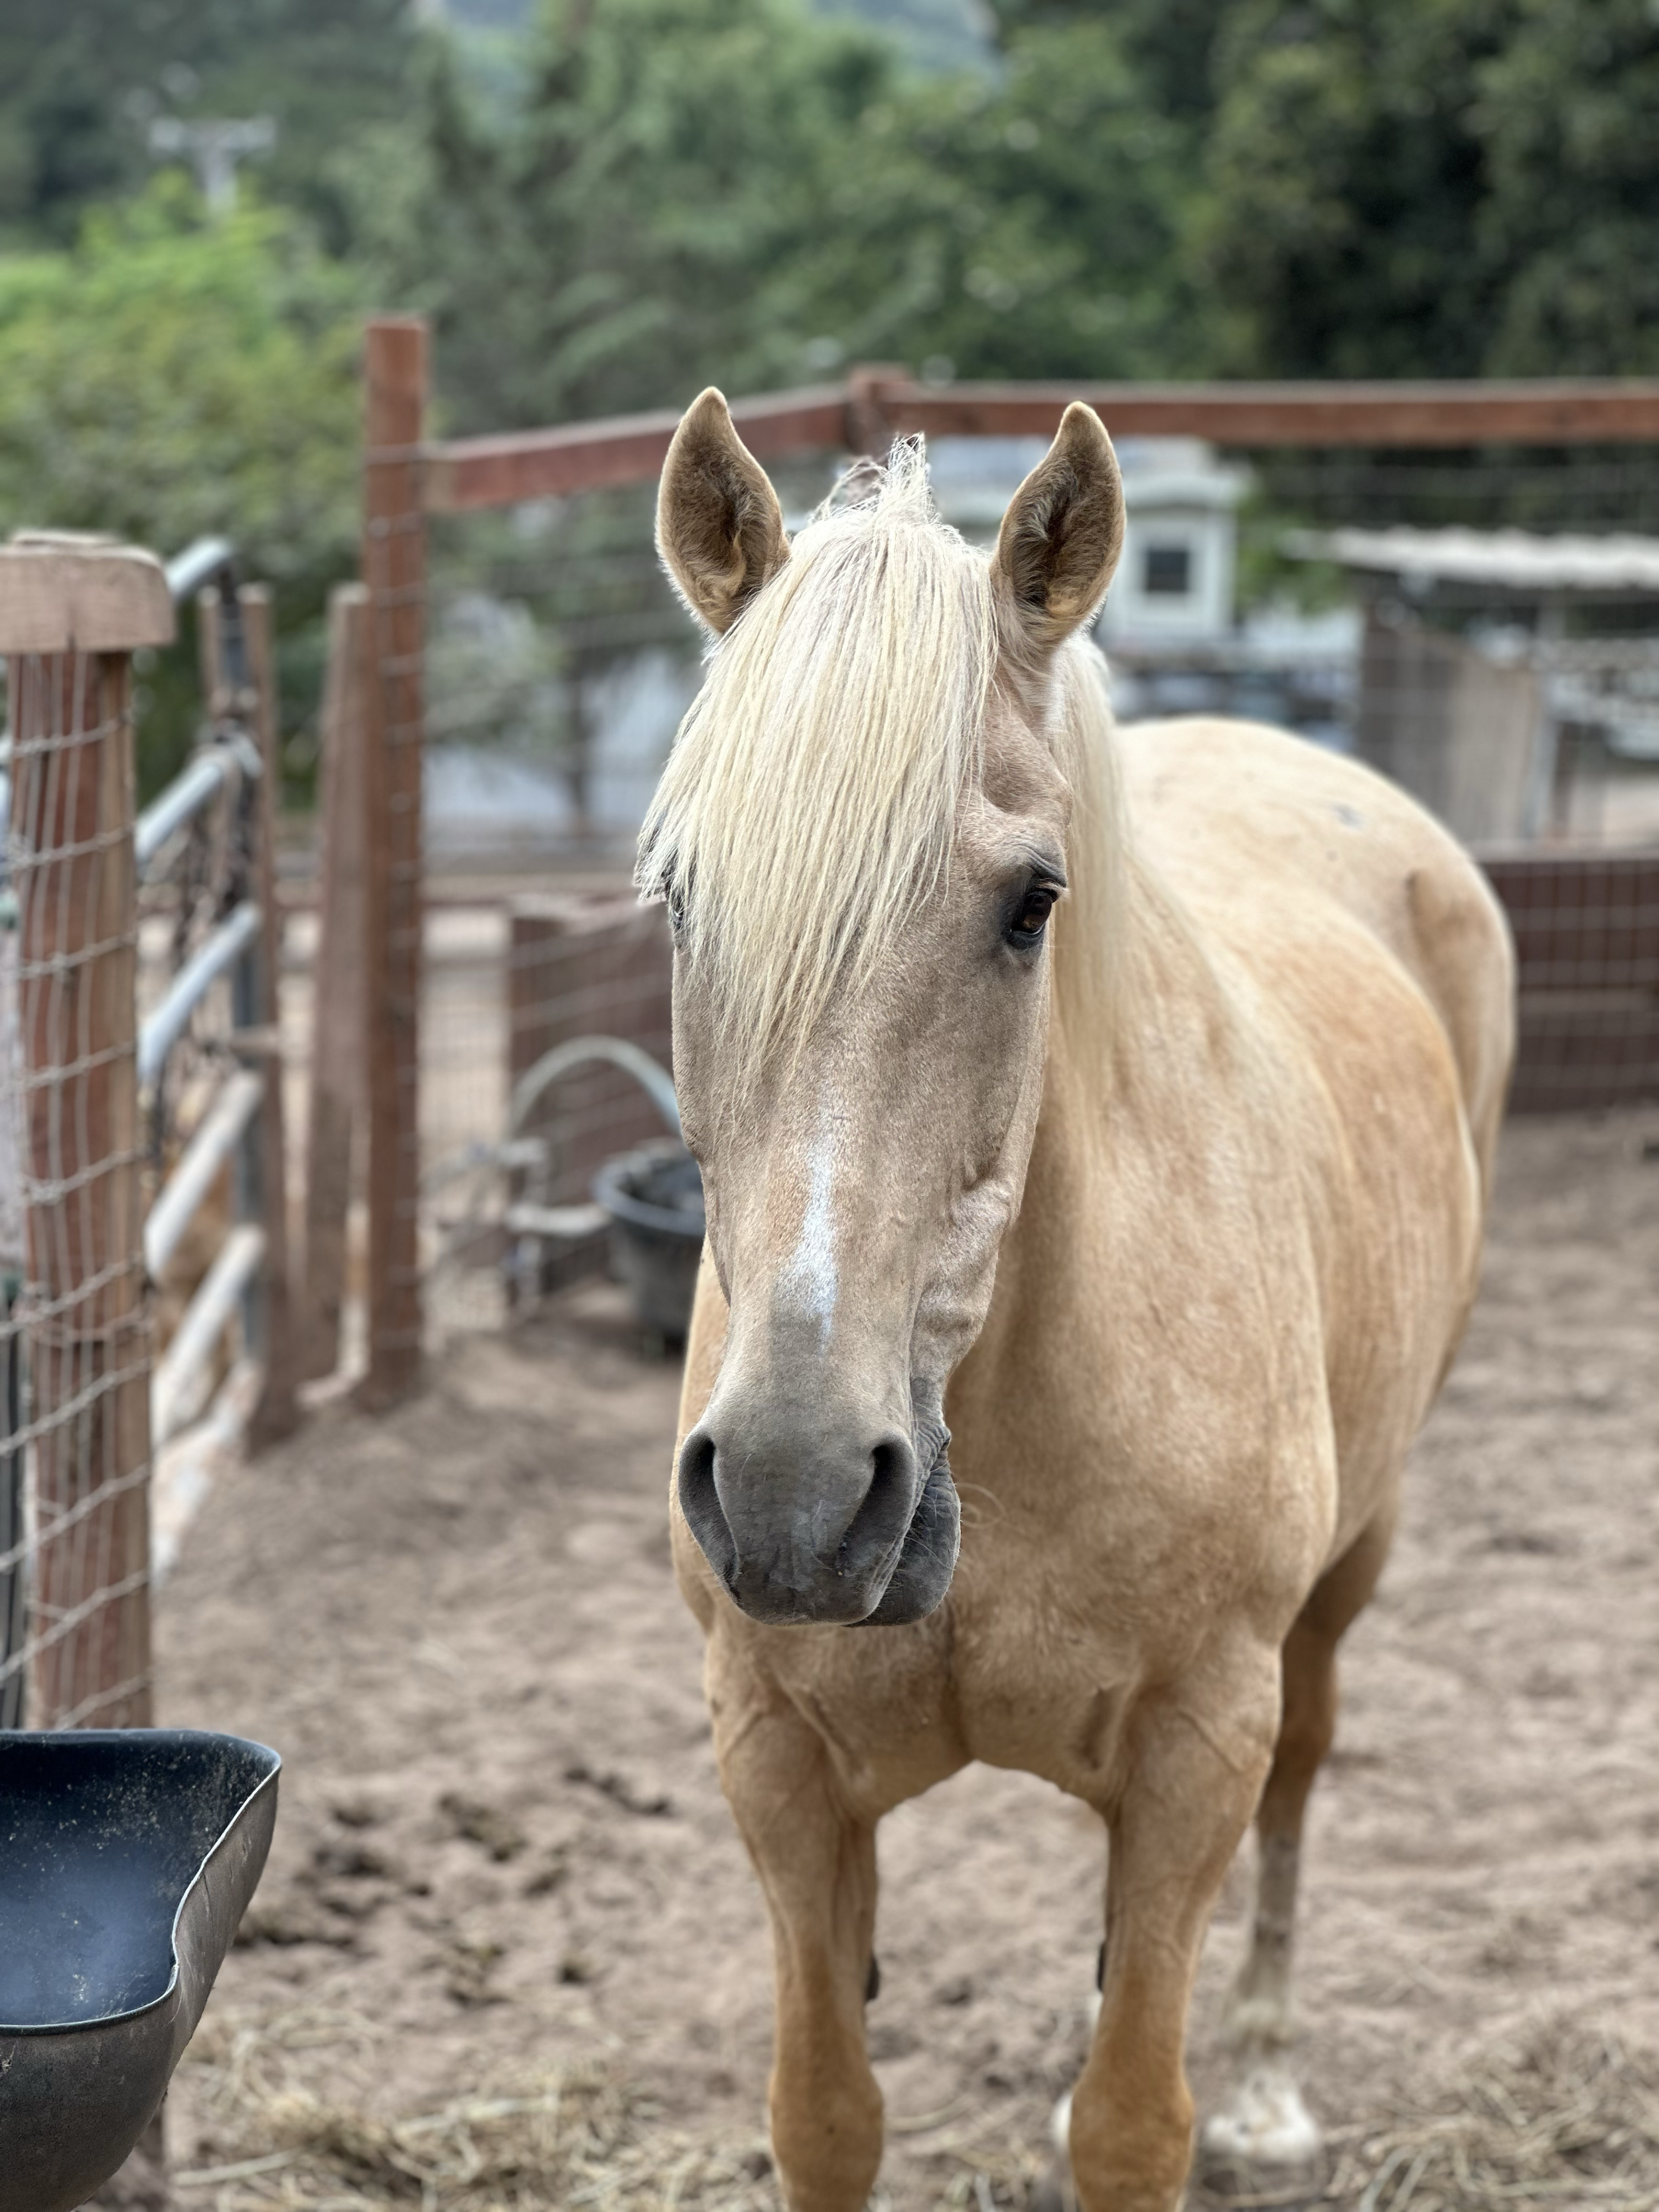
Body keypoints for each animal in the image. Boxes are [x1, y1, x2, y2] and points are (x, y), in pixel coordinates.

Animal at [638, 390, 1515, 2212]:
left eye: (1032, 901)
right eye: (681, 894)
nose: (793, 1493)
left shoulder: (1197, 1744)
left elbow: (1131, 2122)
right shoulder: (777, 1759)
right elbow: (826, 2114)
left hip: (1350, 1569)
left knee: (1300, 1791)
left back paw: (1263, 2077)